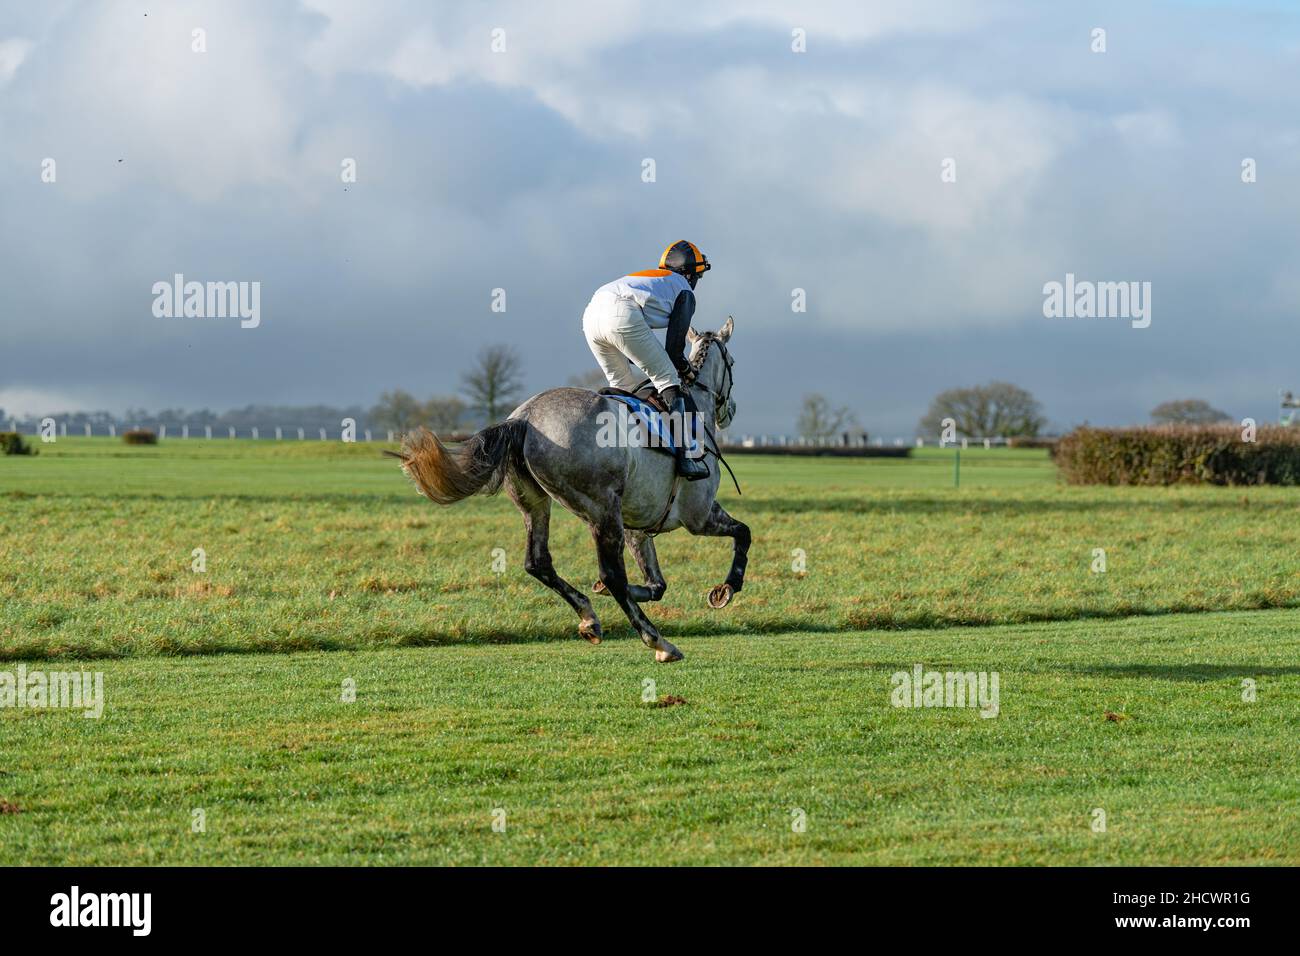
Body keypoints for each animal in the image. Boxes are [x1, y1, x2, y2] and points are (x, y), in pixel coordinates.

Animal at [390, 317, 748, 660]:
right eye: (732, 361)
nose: (730, 410)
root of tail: (524, 418)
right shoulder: (698, 516)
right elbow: (742, 533)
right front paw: (727, 589)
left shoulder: (638, 528)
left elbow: (657, 584)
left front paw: (625, 591)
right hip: (602, 509)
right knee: (612, 573)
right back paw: (658, 642)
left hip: (537, 503)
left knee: (538, 562)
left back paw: (589, 617)